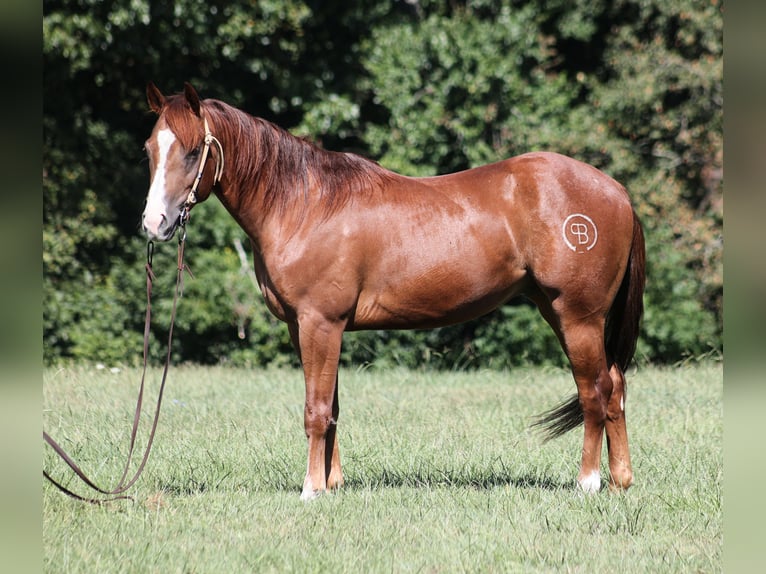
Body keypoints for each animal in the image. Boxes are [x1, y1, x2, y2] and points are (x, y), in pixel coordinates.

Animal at [142, 82, 645, 500]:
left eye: (192, 152)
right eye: (150, 149)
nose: (154, 224)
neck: (304, 205)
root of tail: (616, 191)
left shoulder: (320, 323)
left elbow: (316, 409)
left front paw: (311, 490)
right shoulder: (305, 328)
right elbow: (332, 407)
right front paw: (332, 483)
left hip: (577, 316)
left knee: (595, 390)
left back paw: (588, 483)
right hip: (559, 312)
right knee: (616, 386)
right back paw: (621, 480)